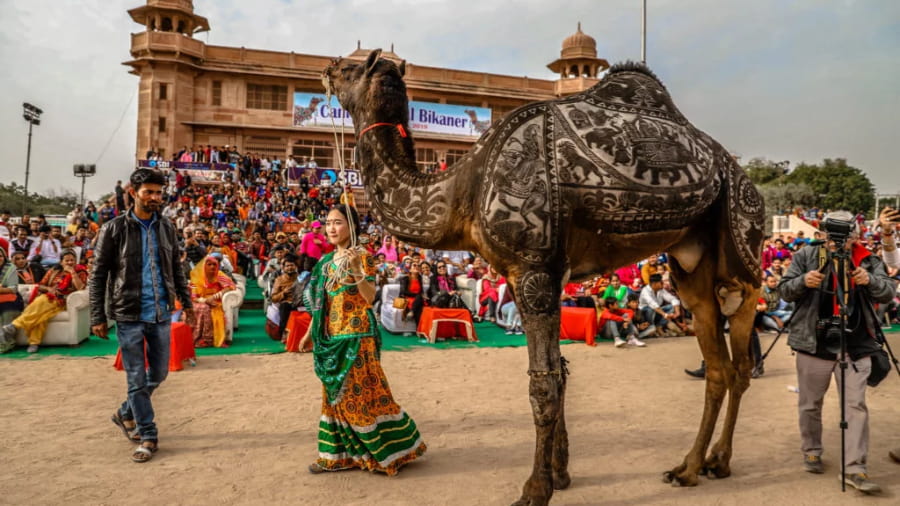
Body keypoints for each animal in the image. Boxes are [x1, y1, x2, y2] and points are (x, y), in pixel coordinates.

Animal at [323, 49, 765, 506]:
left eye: (352, 69)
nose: (330, 67)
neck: (461, 189)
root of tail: (739, 175)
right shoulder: (534, 278)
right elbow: (561, 373)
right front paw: (561, 473)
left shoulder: (533, 270)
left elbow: (544, 385)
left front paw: (535, 489)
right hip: (691, 266)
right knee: (718, 365)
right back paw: (690, 467)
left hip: (741, 237)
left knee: (741, 350)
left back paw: (719, 462)